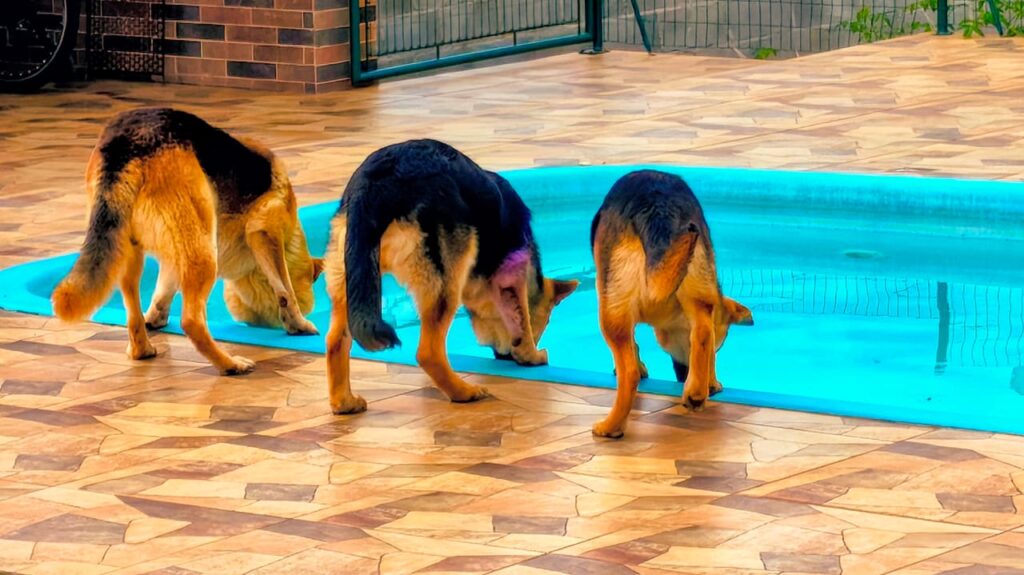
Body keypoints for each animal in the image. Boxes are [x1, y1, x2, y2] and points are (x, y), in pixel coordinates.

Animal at [51, 107, 322, 375]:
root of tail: (127, 142)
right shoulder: (265, 232)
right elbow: (285, 290)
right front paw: (299, 323)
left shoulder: (174, 257)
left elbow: (162, 293)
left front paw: (155, 319)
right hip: (205, 253)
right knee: (191, 321)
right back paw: (229, 364)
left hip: (128, 251)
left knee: (134, 314)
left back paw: (143, 349)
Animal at [322, 139, 578, 414]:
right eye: (547, 321)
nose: (504, 356)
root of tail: (377, 181)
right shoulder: (513, 276)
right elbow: (523, 323)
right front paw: (532, 355)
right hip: (444, 284)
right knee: (428, 352)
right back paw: (463, 392)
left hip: (353, 279)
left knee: (335, 341)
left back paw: (344, 402)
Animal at [590, 169, 753, 438]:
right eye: (717, 351)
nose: (682, 375)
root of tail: (658, 207)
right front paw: (710, 383)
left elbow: (633, 347)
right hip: (698, 275)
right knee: (702, 332)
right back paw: (696, 393)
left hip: (610, 307)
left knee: (629, 374)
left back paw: (611, 426)